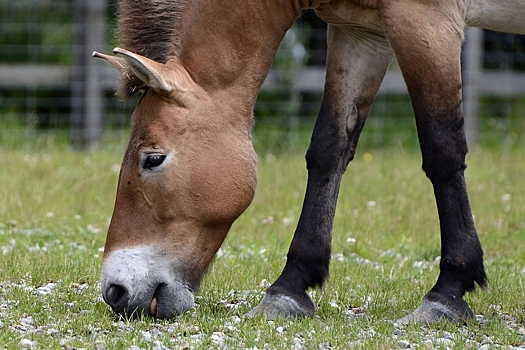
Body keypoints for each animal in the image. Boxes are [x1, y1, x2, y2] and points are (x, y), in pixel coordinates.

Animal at [94, 0, 524, 322]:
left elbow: (442, 150)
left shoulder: (425, 22)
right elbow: (328, 151)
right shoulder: (360, 33)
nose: (115, 291)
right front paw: (289, 288)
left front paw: (448, 292)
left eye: (153, 159)